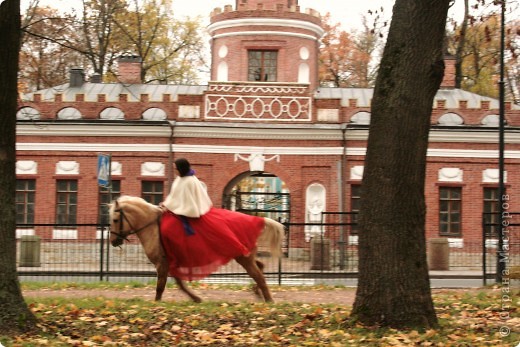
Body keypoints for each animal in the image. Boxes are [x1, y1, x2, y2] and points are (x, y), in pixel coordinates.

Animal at [108, 197, 284, 304]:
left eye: (115, 220)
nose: (112, 241)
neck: (153, 228)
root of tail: (256, 220)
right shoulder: (170, 264)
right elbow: (179, 284)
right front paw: (196, 299)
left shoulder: (162, 263)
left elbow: (160, 286)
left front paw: (157, 303)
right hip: (246, 256)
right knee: (260, 267)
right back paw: (258, 293)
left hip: (243, 258)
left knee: (258, 276)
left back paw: (269, 300)